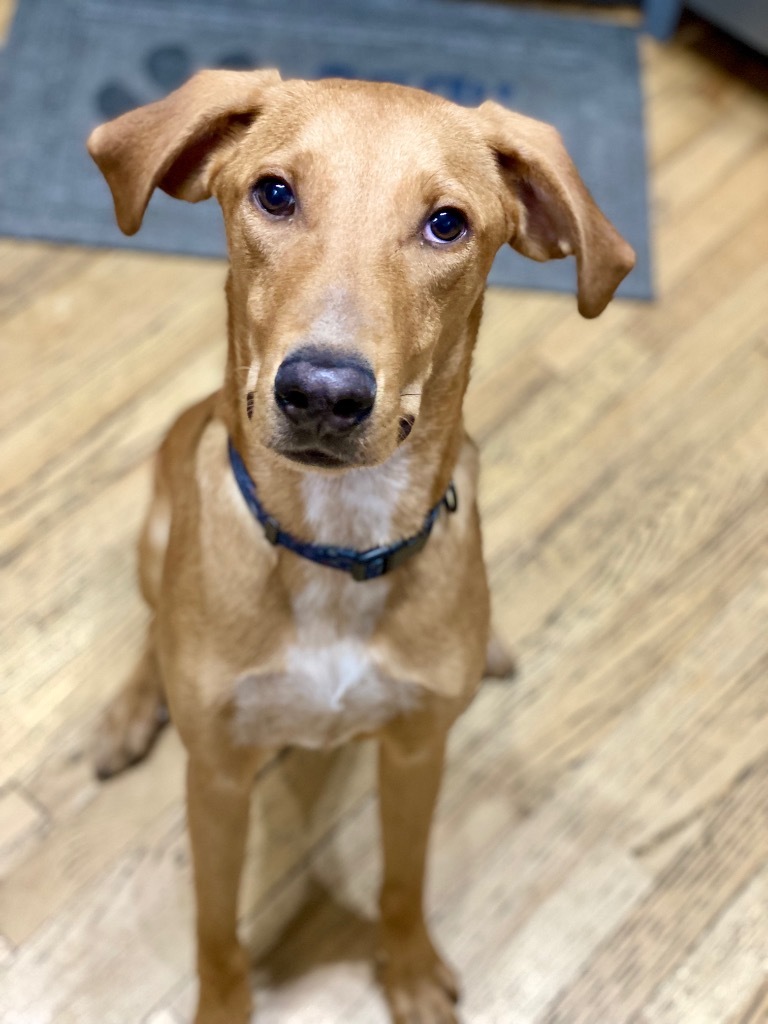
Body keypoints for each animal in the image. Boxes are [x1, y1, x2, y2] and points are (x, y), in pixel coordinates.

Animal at [87, 70, 634, 1024]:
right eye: (274, 194)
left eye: (447, 222)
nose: (322, 393)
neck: (337, 545)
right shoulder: (217, 780)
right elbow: (215, 927)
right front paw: (224, 1005)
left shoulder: (417, 752)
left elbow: (403, 880)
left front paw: (407, 970)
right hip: (154, 531)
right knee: (151, 630)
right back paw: (128, 712)